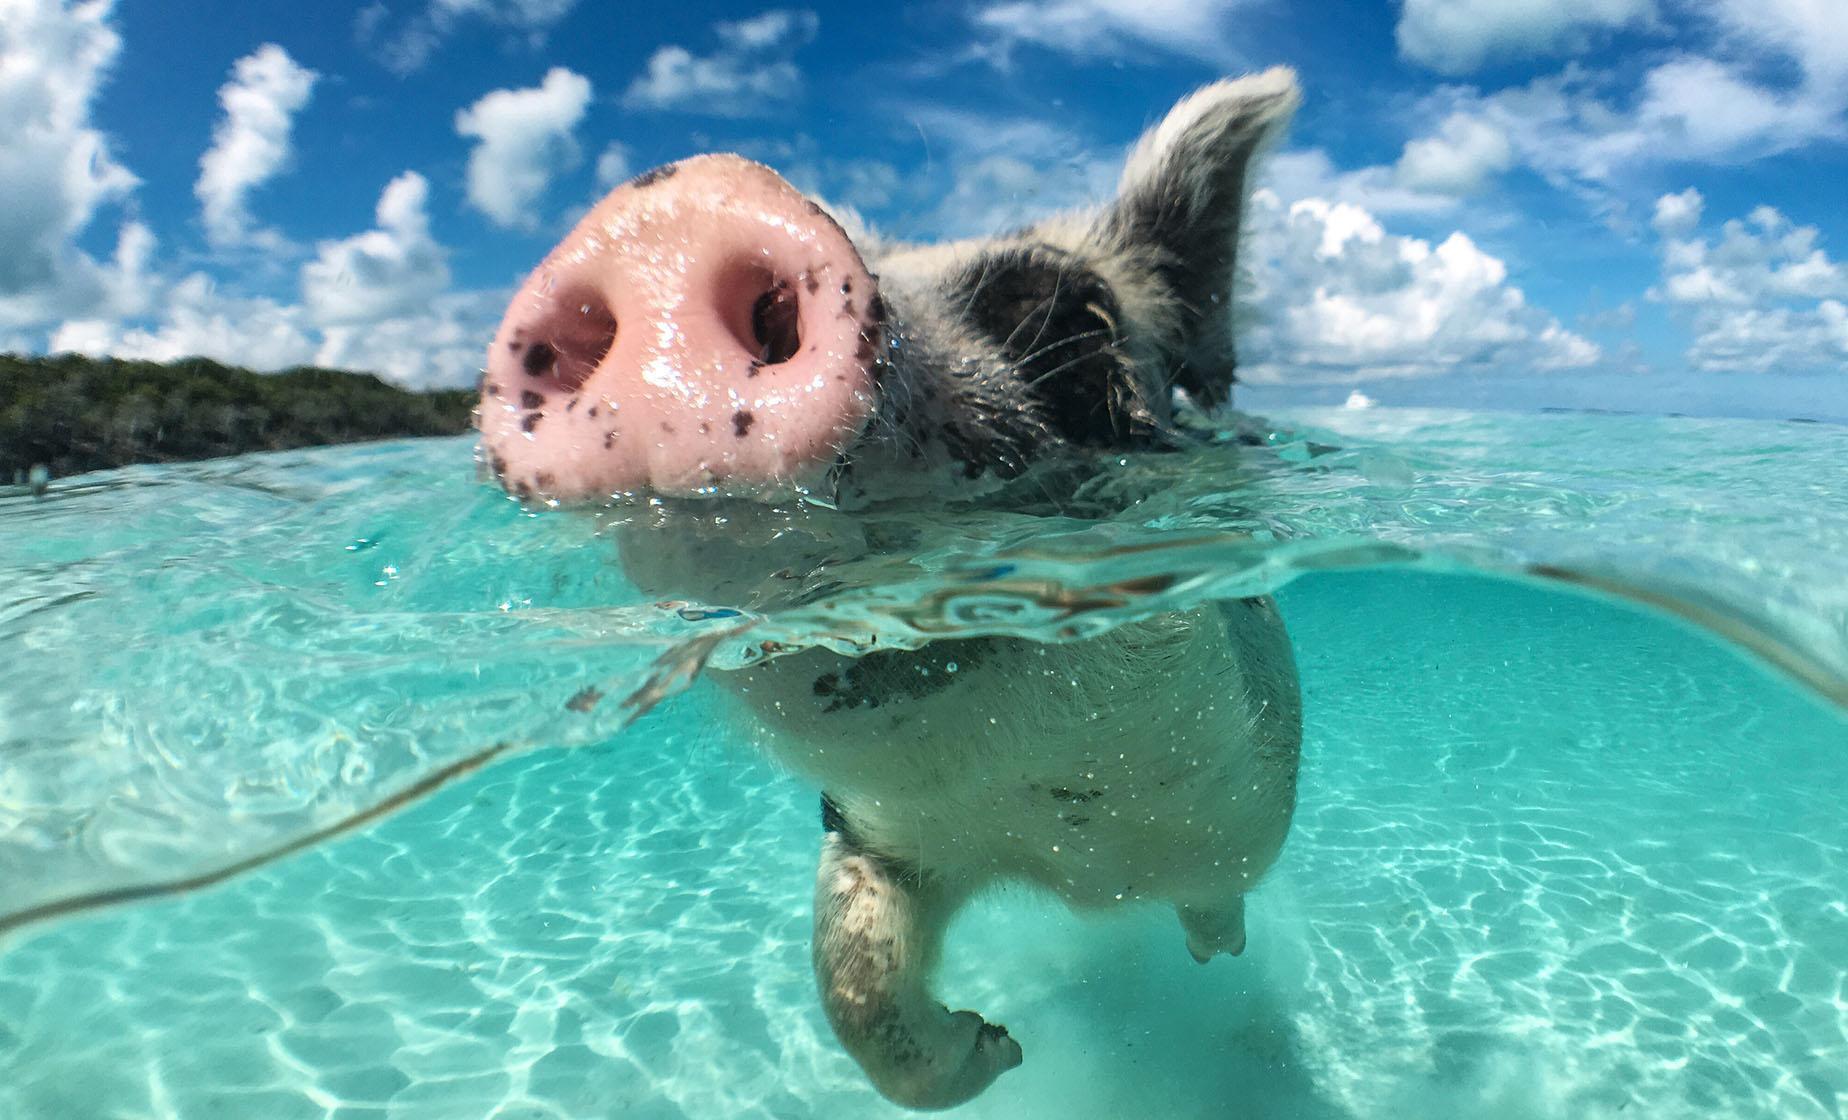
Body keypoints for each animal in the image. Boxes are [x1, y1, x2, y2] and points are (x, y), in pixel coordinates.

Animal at [477, 69, 1304, 1110]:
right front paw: (1001, 1047)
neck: (1065, 849)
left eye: (1074, 318)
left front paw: (1047, 1027)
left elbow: (1217, 894)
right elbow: (854, 983)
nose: (670, 210)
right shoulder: (873, 835)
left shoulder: (1237, 806)